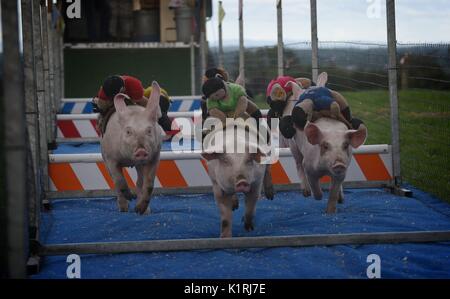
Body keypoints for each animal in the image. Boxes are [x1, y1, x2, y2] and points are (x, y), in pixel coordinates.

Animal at [100, 81, 163, 214]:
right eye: (128, 132)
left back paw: (144, 210)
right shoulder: (110, 158)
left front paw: (139, 210)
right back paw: (123, 208)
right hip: (103, 155)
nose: (141, 150)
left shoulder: (155, 156)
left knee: (140, 182)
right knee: (115, 182)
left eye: (149, 130)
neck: (128, 159)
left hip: (140, 164)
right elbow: (119, 180)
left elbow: (149, 184)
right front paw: (131, 197)